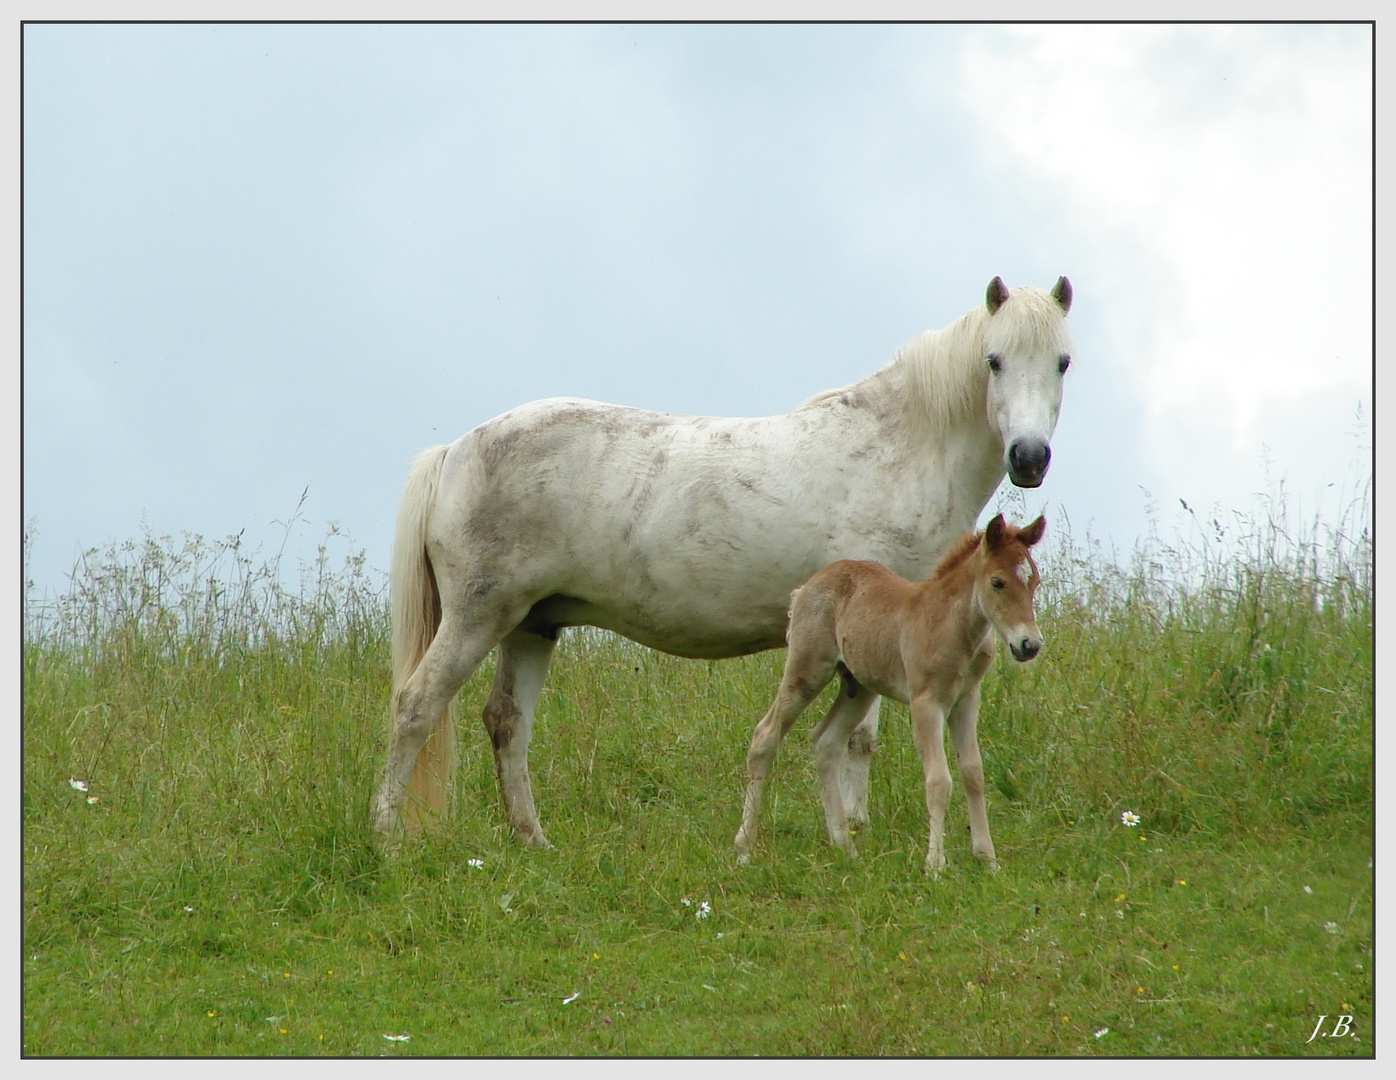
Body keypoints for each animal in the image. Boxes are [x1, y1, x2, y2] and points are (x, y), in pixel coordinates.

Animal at [731, 516, 1049, 881]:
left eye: (1034, 580)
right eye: (997, 582)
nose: (1029, 645)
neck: (950, 624)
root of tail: (807, 586)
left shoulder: (966, 700)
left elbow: (973, 773)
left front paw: (987, 859)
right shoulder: (926, 702)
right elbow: (939, 779)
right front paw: (935, 865)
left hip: (859, 686)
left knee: (826, 741)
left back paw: (845, 846)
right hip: (807, 669)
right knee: (765, 735)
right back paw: (744, 848)